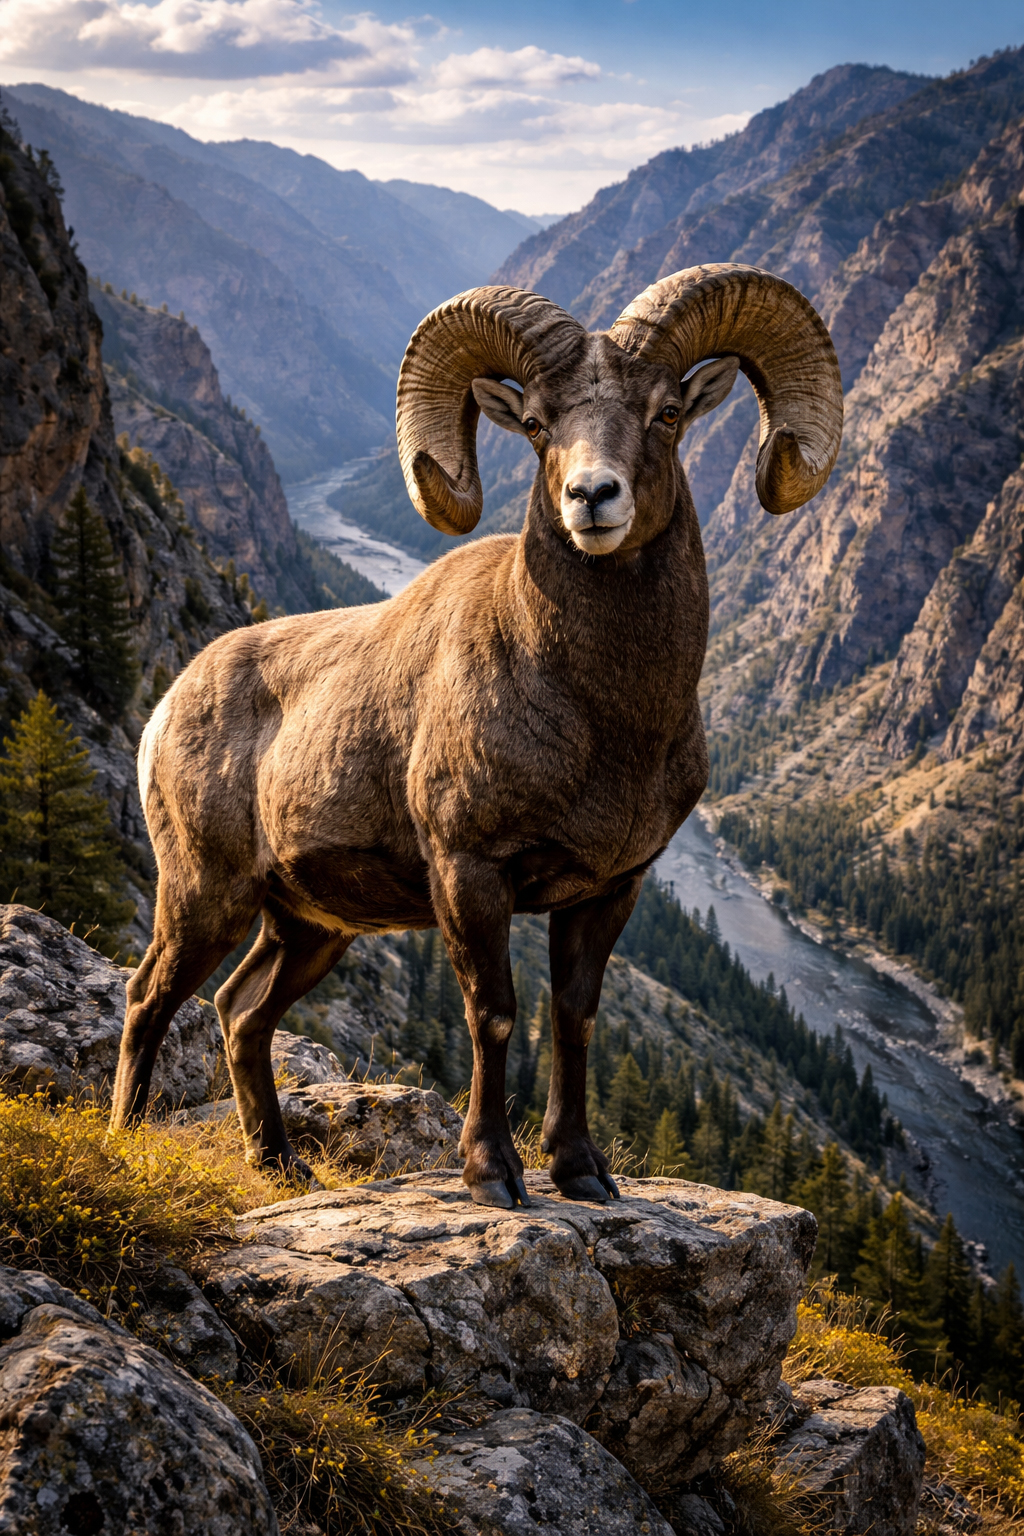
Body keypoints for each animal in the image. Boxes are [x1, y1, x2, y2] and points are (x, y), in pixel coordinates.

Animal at [110, 264, 842, 1208]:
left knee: (240, 1013)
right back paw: (126, 1140)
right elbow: (493, 1015)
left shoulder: (608, 891)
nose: (592, 498)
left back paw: (279, 1165)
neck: (605, 722)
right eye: (536, 424)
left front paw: (581, 1171)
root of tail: (169, 706)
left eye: (668, 412)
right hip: (206, 896)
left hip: (308, 928)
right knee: (147, 997)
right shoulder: (471, 873)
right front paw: (493, 1175)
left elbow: (573, 1017)